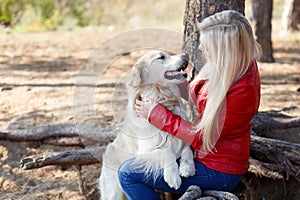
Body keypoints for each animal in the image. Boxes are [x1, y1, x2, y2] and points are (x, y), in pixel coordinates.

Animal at [99, 50, 196, 200]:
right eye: (161, 57)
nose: (185, 55)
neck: (162, 100)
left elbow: (187, 147)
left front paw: (187, 167)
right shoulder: (143, 152)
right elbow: (166, 151)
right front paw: (172, 176)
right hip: (113, 192)